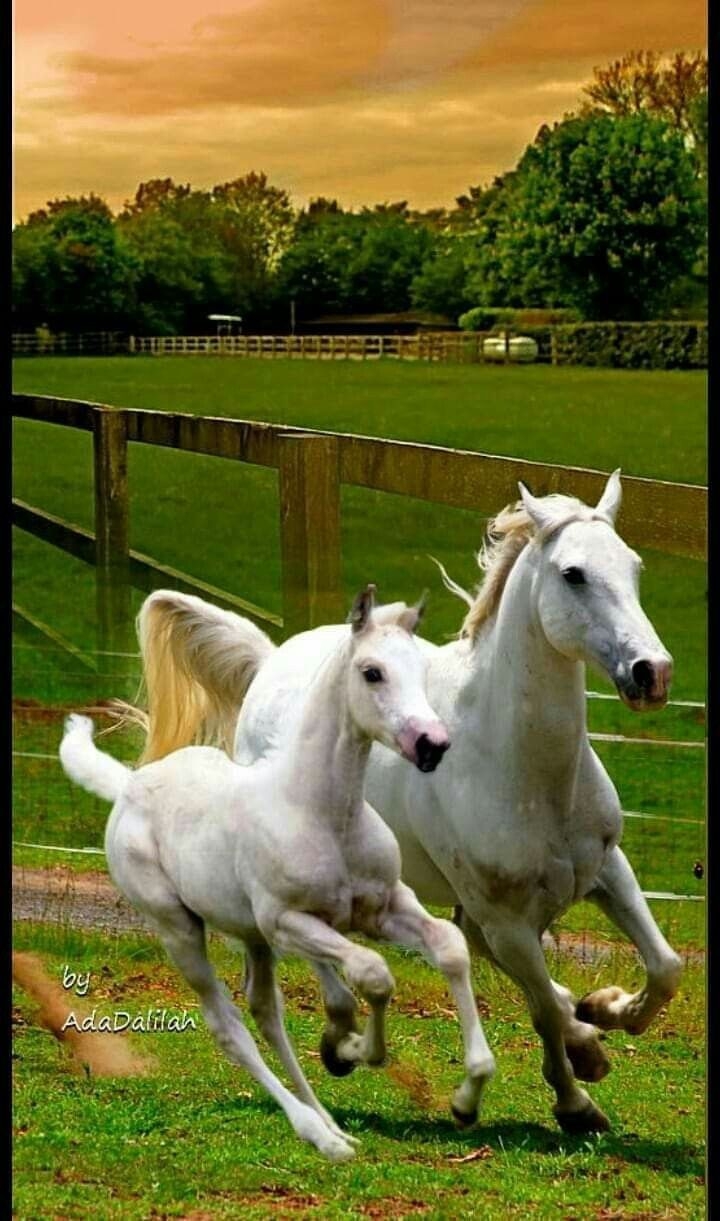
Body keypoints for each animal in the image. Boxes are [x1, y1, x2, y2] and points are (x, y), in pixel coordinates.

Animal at [60, 586, 495, 1162]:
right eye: (372, 672)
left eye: (421, 672)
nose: (431, 744)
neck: (322, 811)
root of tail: (130, 785)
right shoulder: (289, 922)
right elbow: (372, 973)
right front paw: (354, 1049)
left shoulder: (385, 906)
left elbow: (448, 946)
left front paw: (466, 1096)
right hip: (179, 928)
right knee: (229, 1026)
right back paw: (318, 1133)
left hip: (251, 938)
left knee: (267, 1014)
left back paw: (332, 1126)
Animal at [127, 470, 682, 1135]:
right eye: (573, 573)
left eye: (634, 566)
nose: (652, 672)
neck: (525, 769)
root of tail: (271, 660)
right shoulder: (504, 916)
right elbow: (543, 1006)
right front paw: (575, 1101)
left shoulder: (604, 870)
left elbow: (664, 967)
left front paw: (604, 1014)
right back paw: (340, 1038)